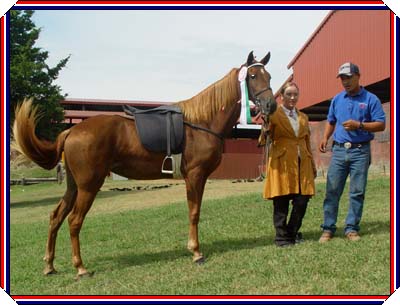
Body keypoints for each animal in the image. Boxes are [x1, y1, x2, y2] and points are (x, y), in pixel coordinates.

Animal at [11, 50, 276, 278]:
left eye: (269, 76)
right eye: (253, 76)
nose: (270, 105)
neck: (202, 122)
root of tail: (72, 130)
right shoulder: (195, 176)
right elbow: (194, 212)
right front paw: (196, 252)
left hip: (74, 186)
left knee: (56, 217)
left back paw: (50, 266)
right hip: (89, 185)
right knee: (74, 221)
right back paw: (81, 268)